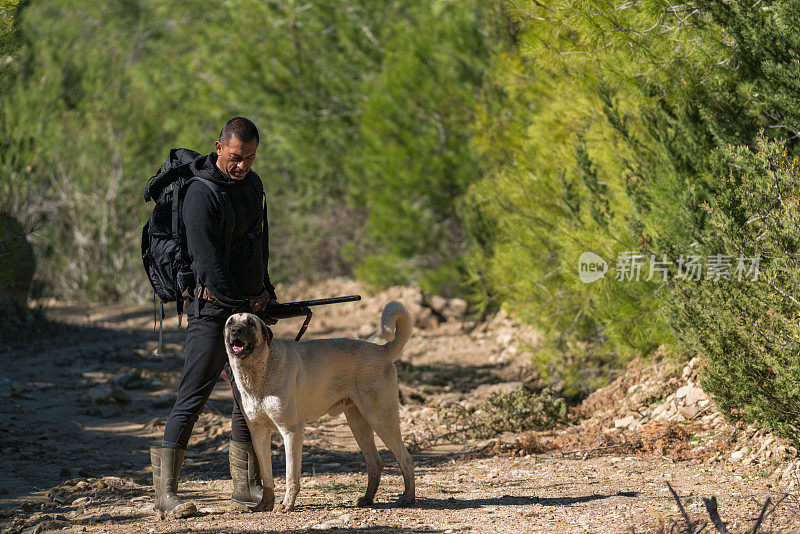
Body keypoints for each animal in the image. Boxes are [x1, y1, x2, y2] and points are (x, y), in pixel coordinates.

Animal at [223, 304, 416, 512]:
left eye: (250, 323)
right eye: (230, 323)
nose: (236, 331)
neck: (260, 369)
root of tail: (382, 350)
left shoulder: (291, 431)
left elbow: (291, 475)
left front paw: (287, 504)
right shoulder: (258, 434)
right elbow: (267, 476)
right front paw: (265, 504)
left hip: (381, 418)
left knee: (405, 459)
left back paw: (408, 498)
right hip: (358, 423)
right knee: (375, 464)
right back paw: (367, 498)